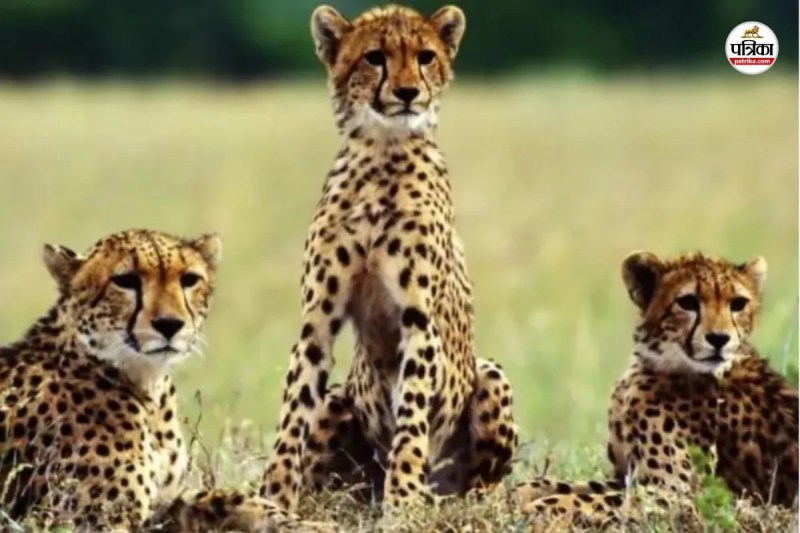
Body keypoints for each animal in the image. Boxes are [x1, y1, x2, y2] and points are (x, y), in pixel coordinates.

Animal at [0, 229, 327, 532]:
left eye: (189, 279)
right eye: (125, 280)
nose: (169, 324)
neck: (148, 385)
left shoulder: (165, 503)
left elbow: (224, 497)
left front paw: (301, 522)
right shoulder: (89, 519)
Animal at [261, 3, 518, 513]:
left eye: (425, 57)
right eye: (374, 57)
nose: (407, 92)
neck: (382, 153)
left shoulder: (419, 323)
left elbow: (412, 417)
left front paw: (403, 500)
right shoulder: (318, 320)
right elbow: (294, 407)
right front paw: (273, 496)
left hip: (489, 377)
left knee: (480, 484)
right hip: (340, 403)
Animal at [512, 251, 798, 529]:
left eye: (738, 303)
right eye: (688, 302)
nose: (719, 339)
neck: (656, 362)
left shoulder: (676, 493)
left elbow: (588, 499)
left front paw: (538, 507)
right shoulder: (627, 476)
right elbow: (572, 485)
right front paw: (524, 491)